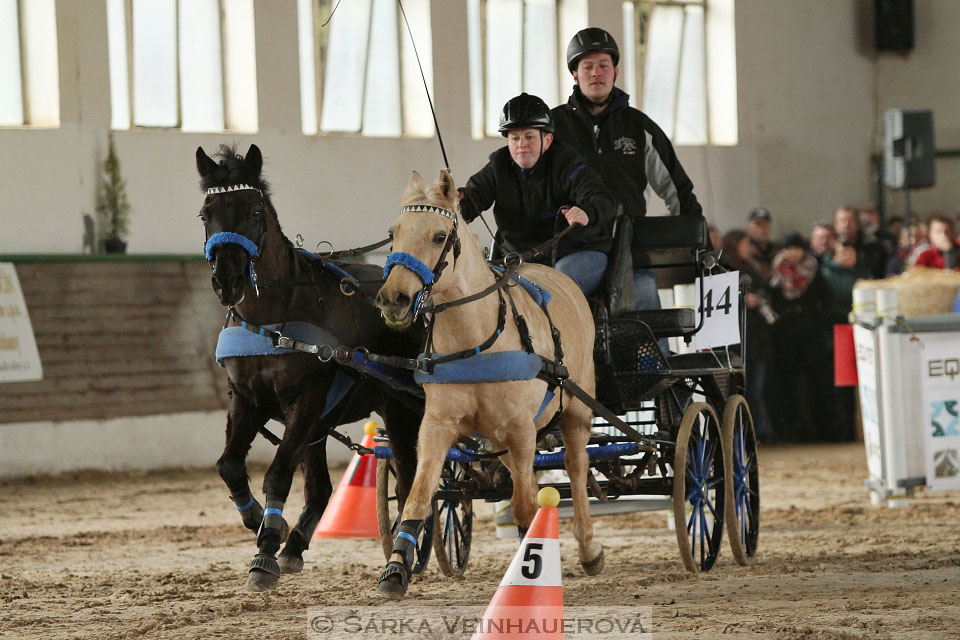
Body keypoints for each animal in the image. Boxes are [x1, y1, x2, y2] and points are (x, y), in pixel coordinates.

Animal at [195, 144, 424, 592]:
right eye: (205, 213)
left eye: (254, 211)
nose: (227, 281)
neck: (273, 318)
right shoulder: (248, 399)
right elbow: (229, 466)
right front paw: (263, 524)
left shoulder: (307, 398)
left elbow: (279, 474)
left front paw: (265, 551)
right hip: (329, 424)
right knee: (322, 488)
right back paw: (298, 545)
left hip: (403, 410)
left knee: (412, 479)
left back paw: (402, 560)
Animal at [374, 170, 600, 600]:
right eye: (392, 232)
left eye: (439, 236)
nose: (393, 299)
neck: (475, 340)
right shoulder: (437, 426)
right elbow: (417, 497)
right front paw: (395, 570)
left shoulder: (521, 428)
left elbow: (525, 506)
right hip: (500, 437)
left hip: (576, 410)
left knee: (576, 469)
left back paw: (589, 549)